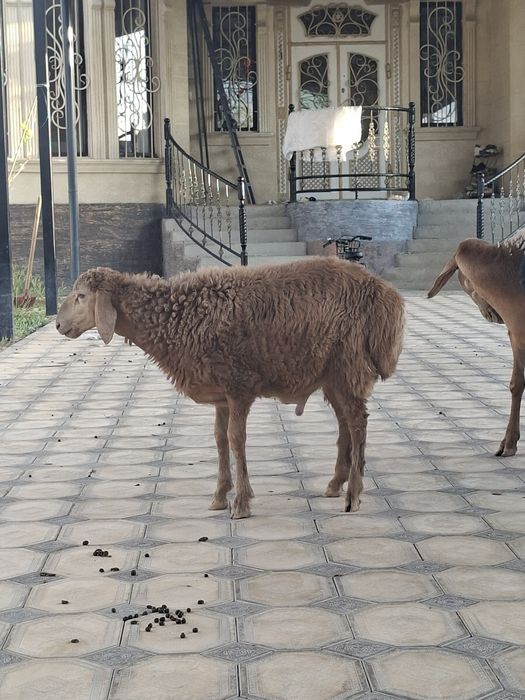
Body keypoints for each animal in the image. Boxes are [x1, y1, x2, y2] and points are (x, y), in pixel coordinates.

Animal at [56, 257, 405, 518]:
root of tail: (387, 296)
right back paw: (335, 484)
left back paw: (354, 495)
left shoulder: (239, 384)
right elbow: (220, 440)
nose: (58, 325)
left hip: (349, 364)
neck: (177, 317)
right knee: (346, 424)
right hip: (332, 374)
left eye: (81, 296)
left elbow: (237, 440)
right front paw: (219, 496)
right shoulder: (222, 394)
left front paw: (241, 503)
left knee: (358, 424)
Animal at [428, 236, 525, 456]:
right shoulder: (516, 332)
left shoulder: (517, 330)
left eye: (465, 283)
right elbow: (517, 383)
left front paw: (509, 443)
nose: (492, 316)